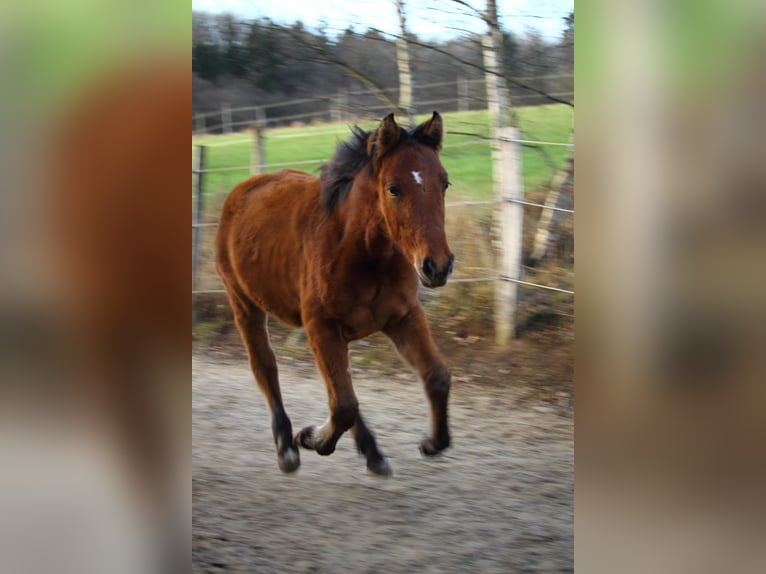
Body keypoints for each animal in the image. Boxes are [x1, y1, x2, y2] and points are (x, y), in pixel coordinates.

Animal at [215, 111, 454, 476]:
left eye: (444, 183)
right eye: (393, 188)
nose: (437, 266)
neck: (361, 252)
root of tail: (241, 190)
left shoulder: (403, 316)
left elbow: (436, 377)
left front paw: (431, 443)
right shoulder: (322, 326)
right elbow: (342, 405)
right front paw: (310, 438)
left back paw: (371, 451)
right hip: (244, 305)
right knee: (265, 367)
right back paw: (287, 446)